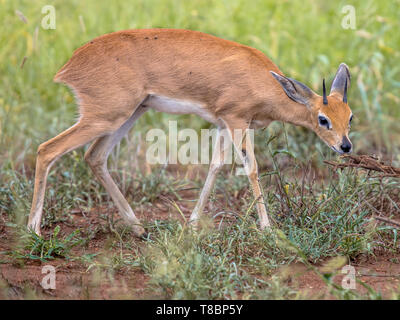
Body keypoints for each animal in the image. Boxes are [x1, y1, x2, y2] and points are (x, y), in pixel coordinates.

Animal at [28, 28, 354, 238]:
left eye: (350, 116)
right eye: (323, 119)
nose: (345, 146)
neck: (265, 83)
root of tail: (70, 65)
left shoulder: (223, 123)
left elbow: (215, 166)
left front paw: (193, 223)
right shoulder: (236, 119)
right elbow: (251, 168)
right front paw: (268, 228)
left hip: (129, 114)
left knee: (94, 157)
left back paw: (138, 228)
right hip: (105, 117)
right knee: (47, 149)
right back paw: (33, 230)